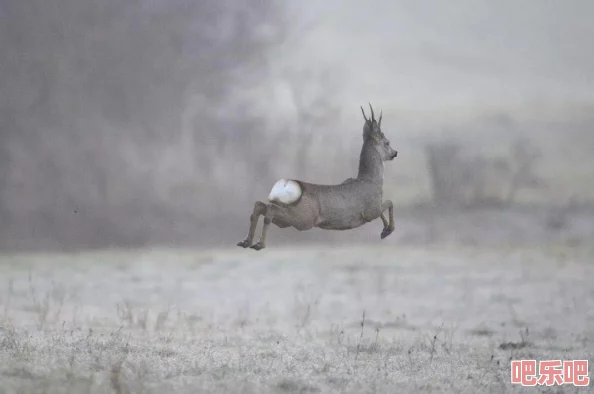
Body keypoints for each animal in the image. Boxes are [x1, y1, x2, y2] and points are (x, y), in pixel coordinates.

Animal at [237, 102, 398, 249]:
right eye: (387, 142)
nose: (395, 153)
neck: (372, 180)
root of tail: (286, 183)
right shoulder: (370, 210)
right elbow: (389, 202)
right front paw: (388, 230)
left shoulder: (374, 208)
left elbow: (386, 206)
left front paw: (384, 230)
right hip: (303, 219)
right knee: (269, 210)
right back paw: (259, 244)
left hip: (286, 217)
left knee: (260, 206)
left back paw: (246, 242)